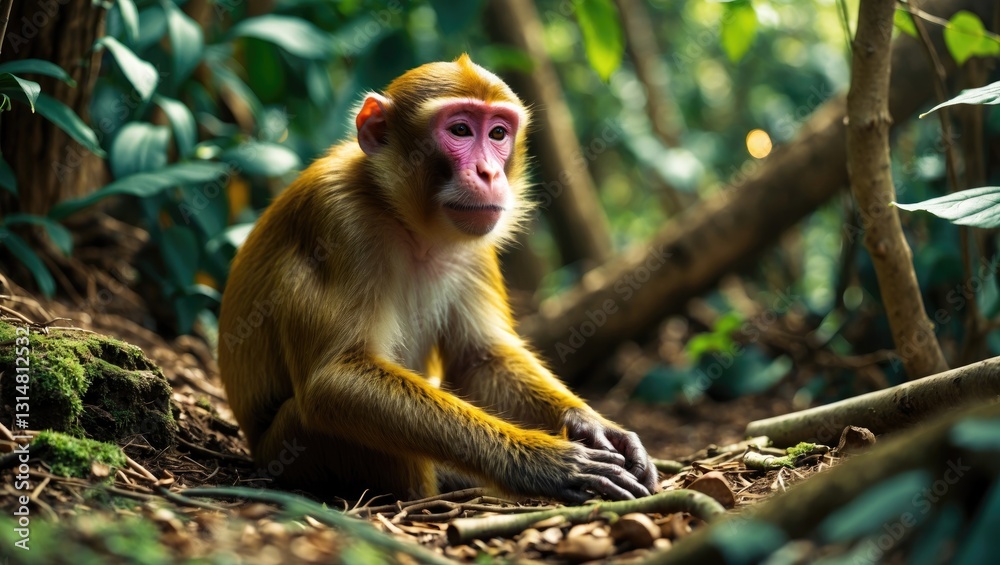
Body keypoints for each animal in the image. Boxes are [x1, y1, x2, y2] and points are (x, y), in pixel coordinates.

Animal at [218, 55, 659, 504]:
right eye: (460, 130)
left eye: (498, 133)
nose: (488, 173)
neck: (407, 223)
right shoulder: (336, 218)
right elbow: (334, 379)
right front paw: (540, 461)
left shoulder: (475, 247)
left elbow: (479, 359)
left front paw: (592, 424)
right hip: (294, 445)